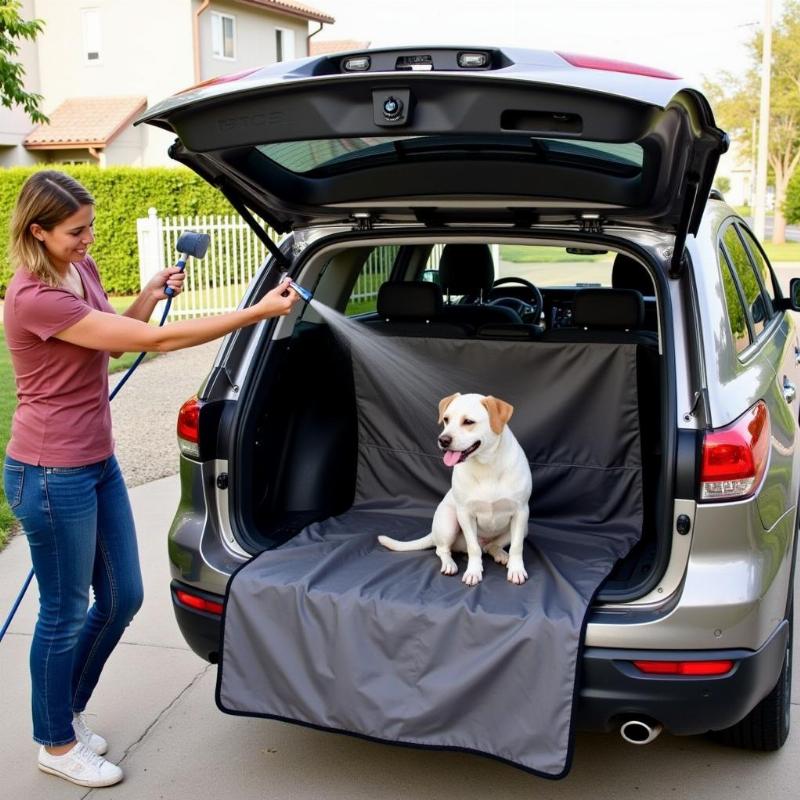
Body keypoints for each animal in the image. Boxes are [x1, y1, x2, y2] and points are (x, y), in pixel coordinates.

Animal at [380, 394, 536, 588]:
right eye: (446, 419)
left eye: (468, 422)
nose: (443, 440)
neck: (487, 464)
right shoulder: (465, 514)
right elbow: (473, 548)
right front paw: (473, 571)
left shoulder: (521, 512)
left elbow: (517, 547)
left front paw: (516, 570)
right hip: (448, 523)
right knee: (443, 549)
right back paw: (449, 564)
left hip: (524, 528)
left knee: (491, 546)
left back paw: (500, 554)